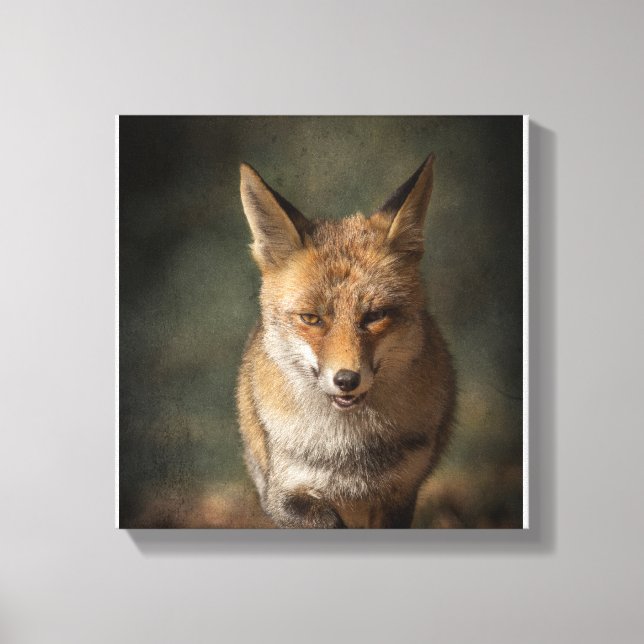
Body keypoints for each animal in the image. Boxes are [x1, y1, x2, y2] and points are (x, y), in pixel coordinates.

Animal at [236, 154, 456, 528]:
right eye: (312, 318)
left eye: (375, 315)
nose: (346, 380)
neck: (347, 453)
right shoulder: (285, 495)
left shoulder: (399, 494)